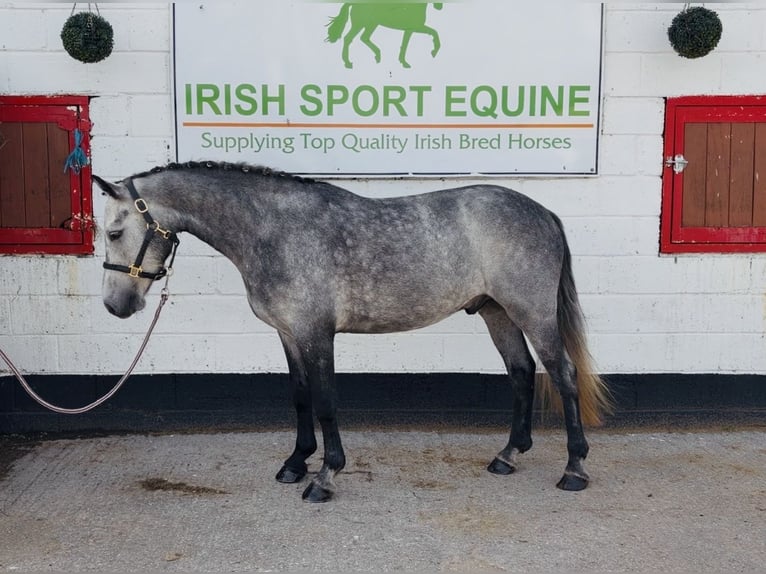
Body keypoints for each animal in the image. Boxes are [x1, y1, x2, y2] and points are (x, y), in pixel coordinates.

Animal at [94, 161, 611, 503]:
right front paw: (295, 463)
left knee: (562, 375)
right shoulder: (289, 334)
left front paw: (325, 476)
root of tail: (543, 213)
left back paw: (575, 468)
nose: (116, 306)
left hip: (531, 312)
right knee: (521, 372)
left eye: (115, 232)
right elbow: (300, 397)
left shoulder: (316, 333)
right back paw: (508, 455)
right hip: (496, 312)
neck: (273, 230)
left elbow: (326, 402)